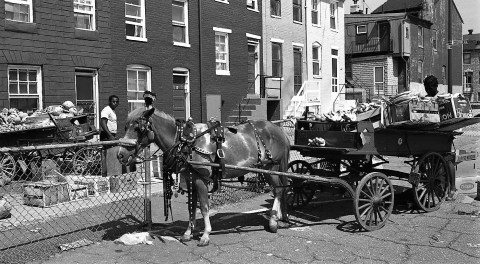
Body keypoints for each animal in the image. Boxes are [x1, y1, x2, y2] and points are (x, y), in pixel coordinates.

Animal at [117, 106, 288, 245]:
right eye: (126, 127)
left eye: (138, 129)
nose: (120, 155)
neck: (186, 142)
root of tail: (278, 129)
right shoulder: (190, 178)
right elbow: (191, 207)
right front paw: (188, 232)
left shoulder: (201, 179)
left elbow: (204, 207)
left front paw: (205, 235)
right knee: (280, 190)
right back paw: (280, 216)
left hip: (271, 167)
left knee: (279, 190)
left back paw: (273, 222)